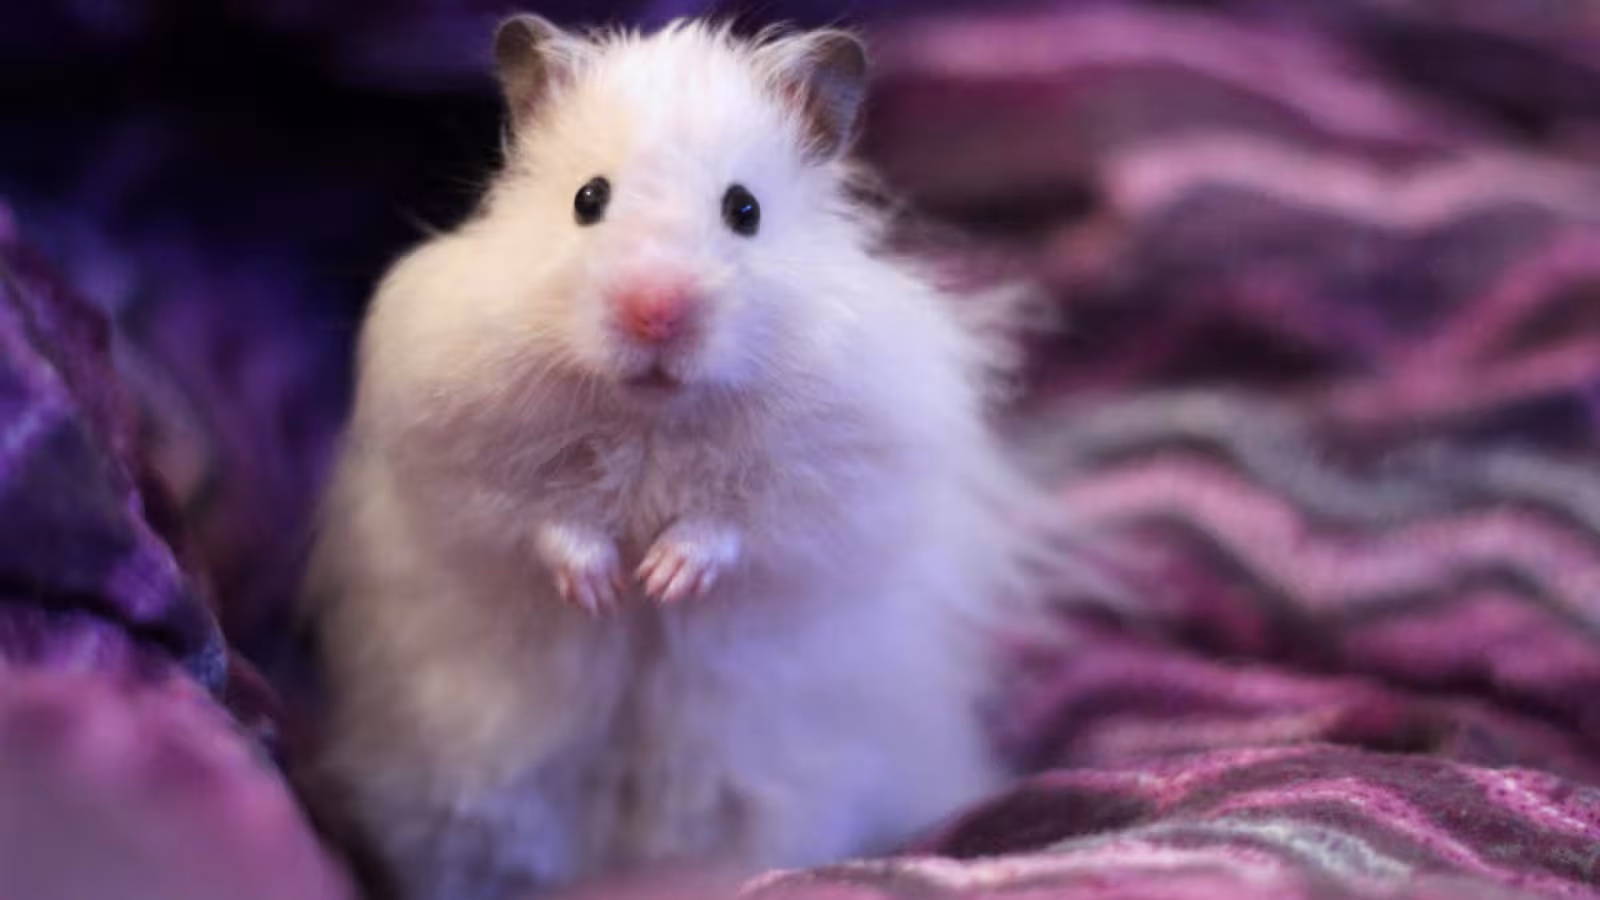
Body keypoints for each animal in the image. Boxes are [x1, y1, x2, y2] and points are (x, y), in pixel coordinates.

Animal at [304, 15, 1051, 900]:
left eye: (745, 209)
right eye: (588, 200)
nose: (654, 311)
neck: (653, 420)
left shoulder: (836, 475)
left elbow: (743, 523)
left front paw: (662, 578)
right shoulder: (459, 451)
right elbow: (539, 517)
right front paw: (601, 589)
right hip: (471, 796)